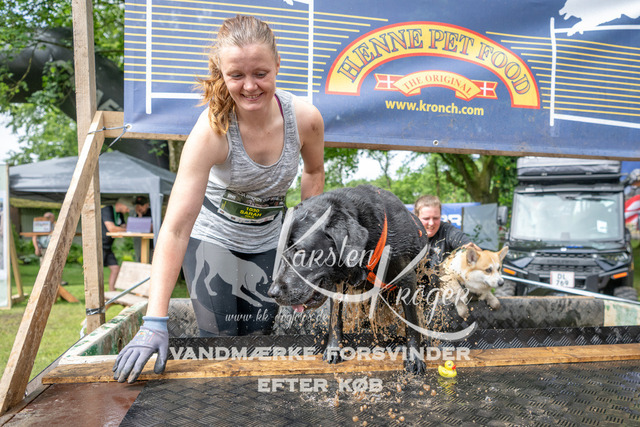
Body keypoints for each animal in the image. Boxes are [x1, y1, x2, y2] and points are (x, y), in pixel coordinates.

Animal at [268, 185, 429, 374]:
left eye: (299, 251)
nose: (272, 293)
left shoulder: (407, 279)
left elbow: (412, 323)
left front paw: (414, 358)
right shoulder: (337, 285)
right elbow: (335, 320)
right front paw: (333, 349)